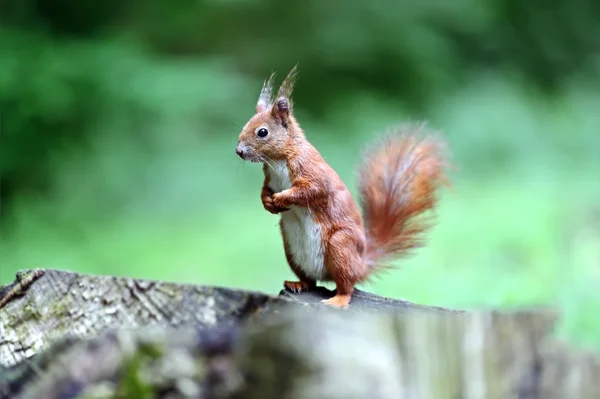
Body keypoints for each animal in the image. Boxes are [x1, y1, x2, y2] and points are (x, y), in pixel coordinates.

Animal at [234, 66, 450, 310]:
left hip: (340, 247)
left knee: (347, 286)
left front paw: (281, 199)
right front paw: (267, 202)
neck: (278, 160)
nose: (239, 151)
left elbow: (312, 190)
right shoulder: (269, 178)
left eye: (262, 132)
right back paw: (298, 284)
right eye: (246, 125)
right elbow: (264, 190)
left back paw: (337, 300)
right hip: (291, 249)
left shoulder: (312, 171)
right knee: (311, 280)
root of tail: (360, 264)